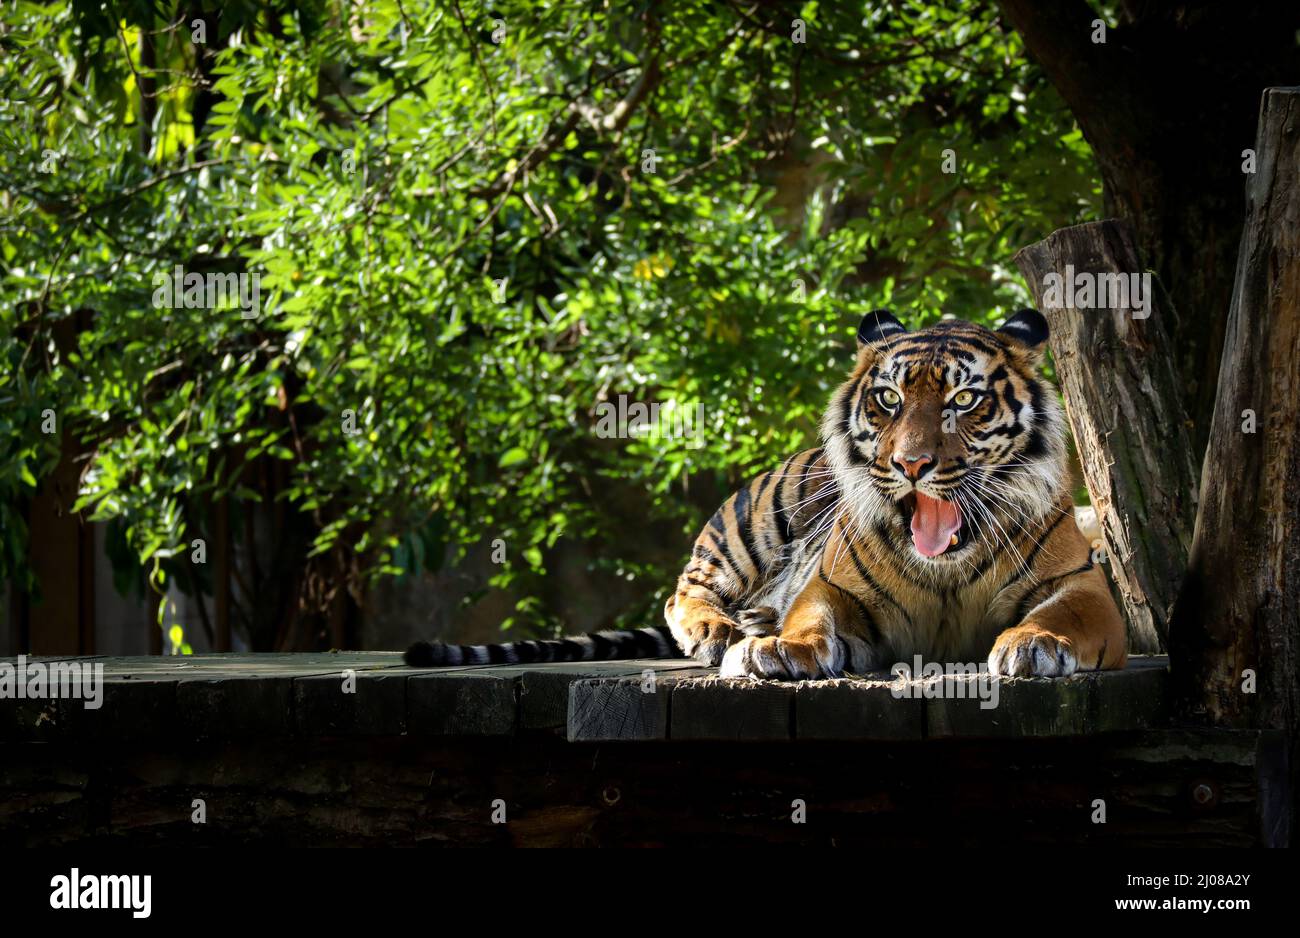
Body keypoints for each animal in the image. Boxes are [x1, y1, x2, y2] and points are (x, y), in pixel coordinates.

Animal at [405, 308, 1126, 681]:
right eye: (889, 399)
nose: (911, 463)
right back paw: (723, 632)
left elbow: (1065, 615)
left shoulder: (1082, 587)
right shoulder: (835, 588)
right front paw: (779, 649)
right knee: (684, 590)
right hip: (751, 524)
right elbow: (810, 616)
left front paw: (1036, 643)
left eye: (964, 401)